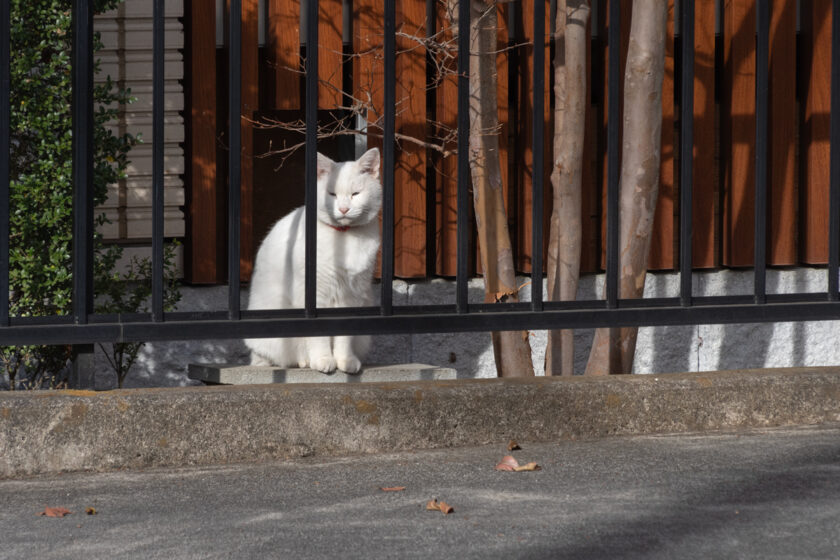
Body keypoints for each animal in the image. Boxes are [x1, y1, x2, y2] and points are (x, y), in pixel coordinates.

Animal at [244, 149, 382, 372]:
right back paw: (305, 361)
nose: (343, 209)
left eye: (355, 194)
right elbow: (318, 335)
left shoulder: (351, 294)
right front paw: (323, 359)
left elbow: (344, 336)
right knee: (281, 358)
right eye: (332, 194)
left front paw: (345, 361)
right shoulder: (314, 295)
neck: (343, 236)